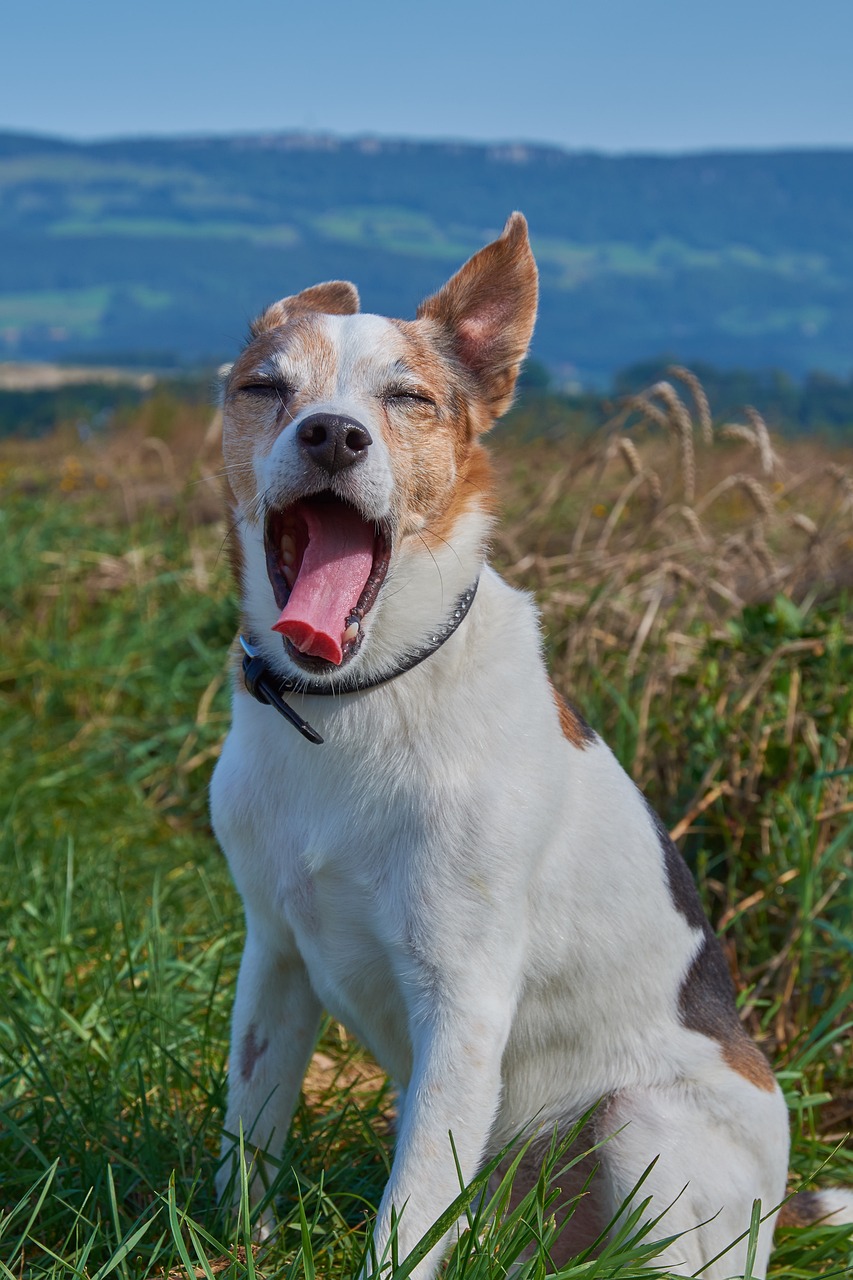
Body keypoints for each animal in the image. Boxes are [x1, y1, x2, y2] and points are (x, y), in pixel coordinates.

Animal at [207, 215, 850, 1274]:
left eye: (408, 398)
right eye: (264, 388)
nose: (333, 434)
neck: (357, 700)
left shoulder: (463, 998)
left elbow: (408, 1212)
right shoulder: (275, 955)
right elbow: (247, 1137)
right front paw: (234, 1245)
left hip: (638, 1121)